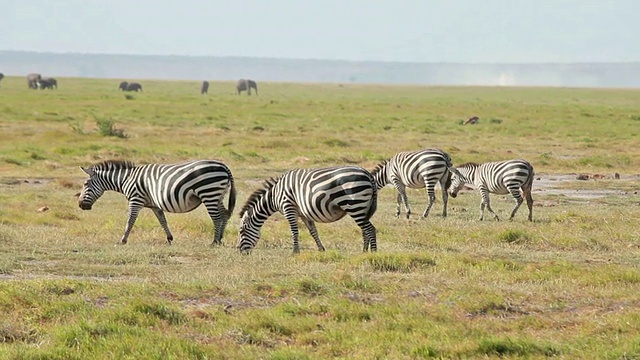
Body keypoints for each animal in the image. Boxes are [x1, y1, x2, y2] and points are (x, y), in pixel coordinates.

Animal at [79, 160, 236, 245]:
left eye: (86, 184)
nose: (81, 205)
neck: (126, 179)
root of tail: (224, 166)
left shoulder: (135, 200)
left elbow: (130, 221)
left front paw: (123, 240)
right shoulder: (155, 205)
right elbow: (162, 220)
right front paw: (169, 238)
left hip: (209, 192)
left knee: (217, 218)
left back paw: (214, 241)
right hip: (218, 195)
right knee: (224, 215)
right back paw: (220, 240)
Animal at [238, 166, 378, 253]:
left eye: (241, 231)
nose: (239, 250)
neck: (275, 195)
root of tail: (367, 174)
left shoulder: (289, 207)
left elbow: (294, 231)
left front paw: (295, 251)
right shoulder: (304, 213)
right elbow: (313, 231)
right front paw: (321, 249)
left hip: (354, 205)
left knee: (370, 229)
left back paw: (373, 252)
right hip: (363, 208)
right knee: (365, 229)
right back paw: (364, 252)